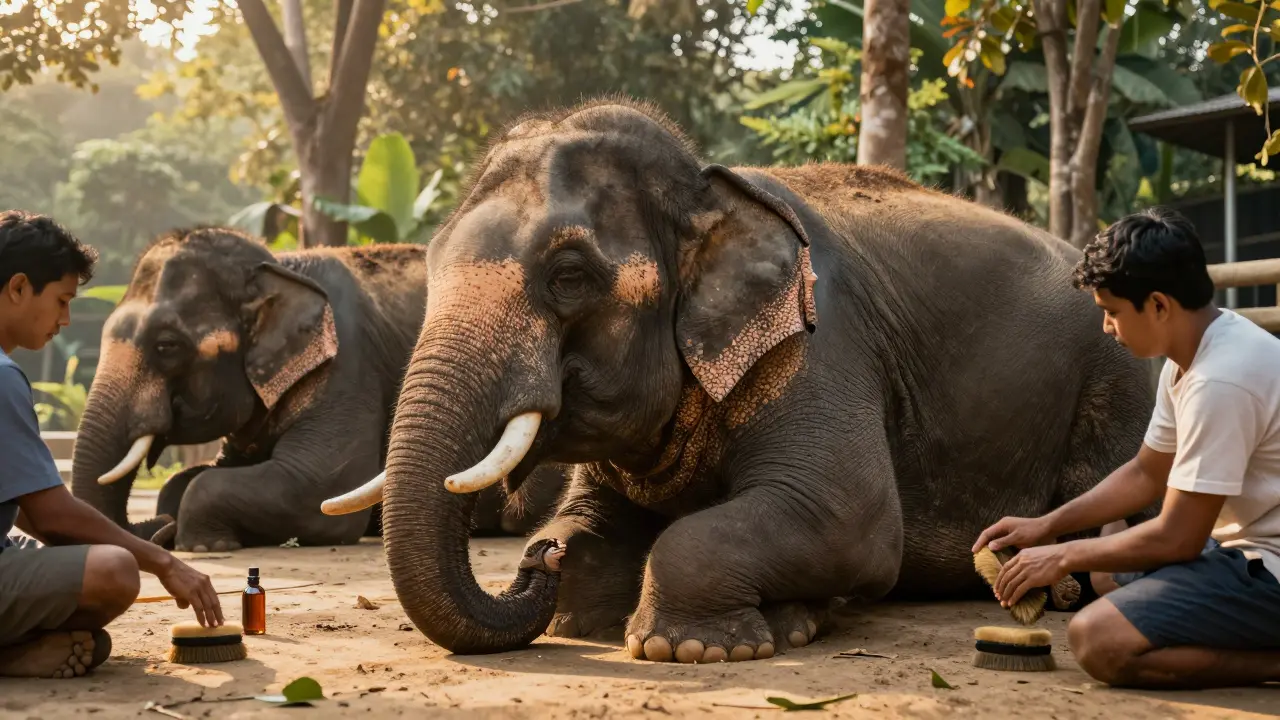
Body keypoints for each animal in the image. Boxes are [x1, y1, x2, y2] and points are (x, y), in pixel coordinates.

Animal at [71, 227, 566, 551]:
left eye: (167, 345)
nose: (156, 530)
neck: (278, 266)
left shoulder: (348, 364)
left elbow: (315, 486)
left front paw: (201, 545)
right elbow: (190, 477)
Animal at [321, 98, 1155, 663]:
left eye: (569, 276)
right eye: (429, 266)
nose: (532, 565)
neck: (708, 189)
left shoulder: (824, 344)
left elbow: (851, 520)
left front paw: (692, 647)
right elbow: (590, 522)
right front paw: (574, 597)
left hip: (1120, 380)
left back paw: (1058, 591)